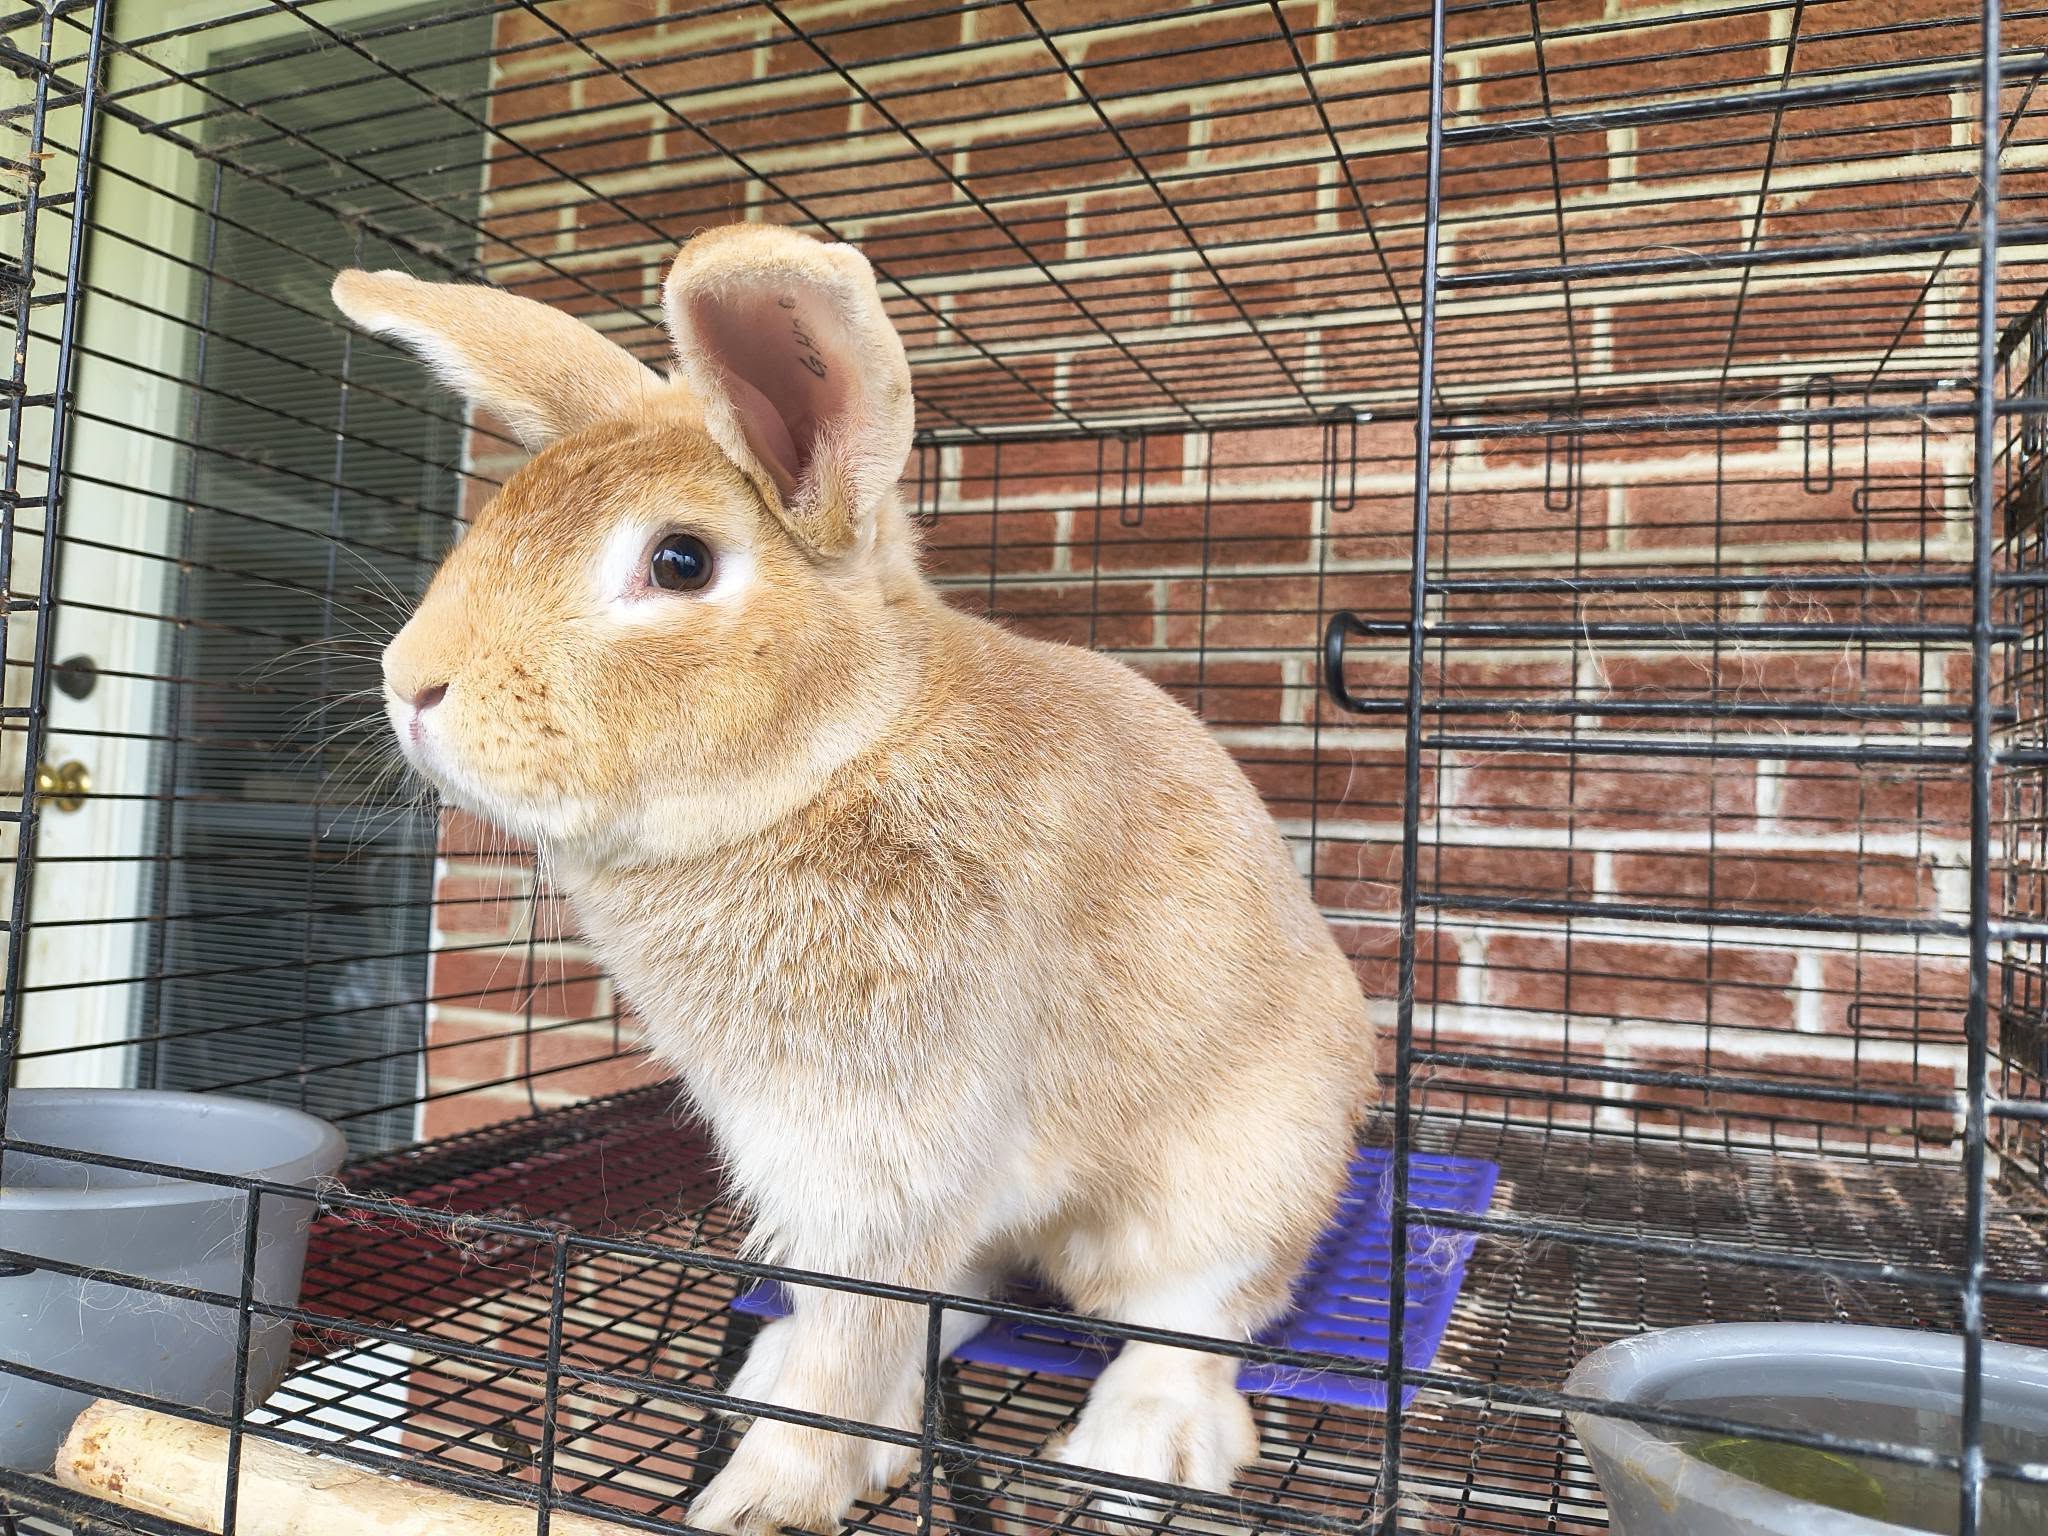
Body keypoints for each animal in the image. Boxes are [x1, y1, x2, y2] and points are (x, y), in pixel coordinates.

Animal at [334, 222, 1375, 1535]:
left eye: (680, 561)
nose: (410, 684)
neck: (845, 753)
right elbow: (860, 1321)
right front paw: (805, 1442)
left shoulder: (884, 1138)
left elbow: (861, 1325)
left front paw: (766, 1496)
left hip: (1240, 1177)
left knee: (1192, 1319)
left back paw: (1142, 1444)